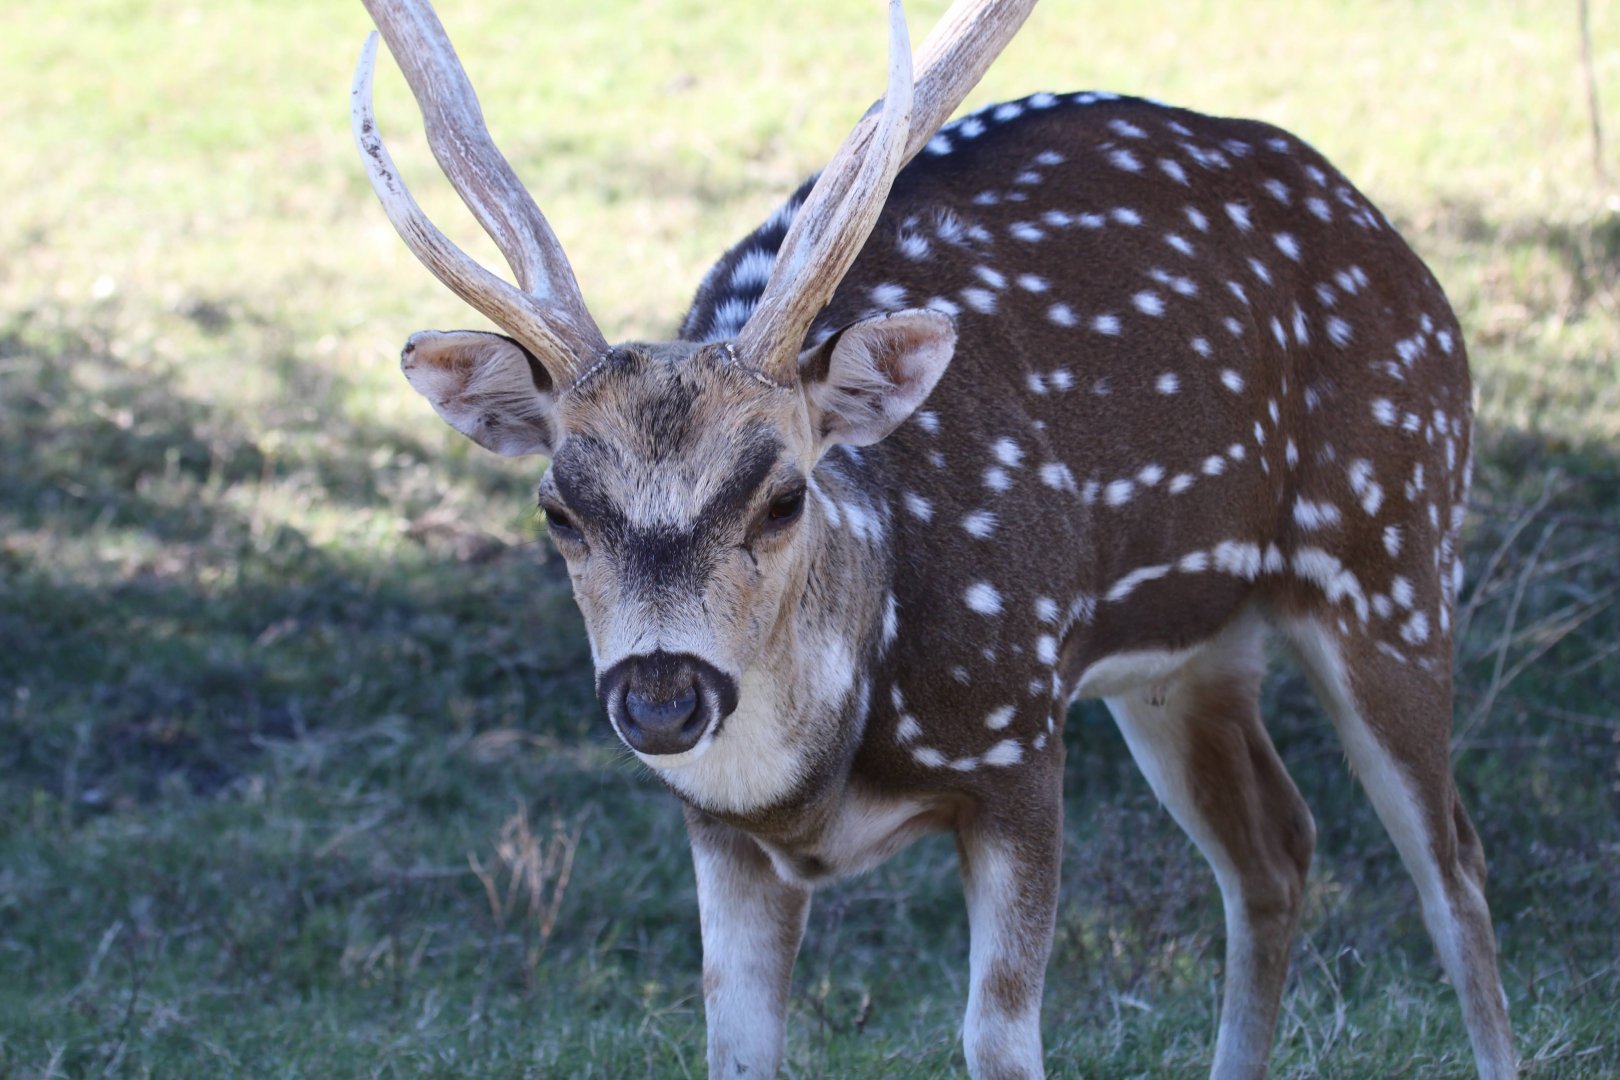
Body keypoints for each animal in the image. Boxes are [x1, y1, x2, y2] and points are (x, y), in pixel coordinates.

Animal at [350, 0, 1517, 1076]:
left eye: (783, 495)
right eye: (559, 508)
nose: (663, 697)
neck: (821, 781)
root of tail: (1404, 254)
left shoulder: (1019, 742)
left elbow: (998, 1038)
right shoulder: (717, 831)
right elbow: (736, 1046)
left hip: (1394, 550)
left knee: (1455, 861)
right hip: (1186, 653)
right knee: (1275, 846)